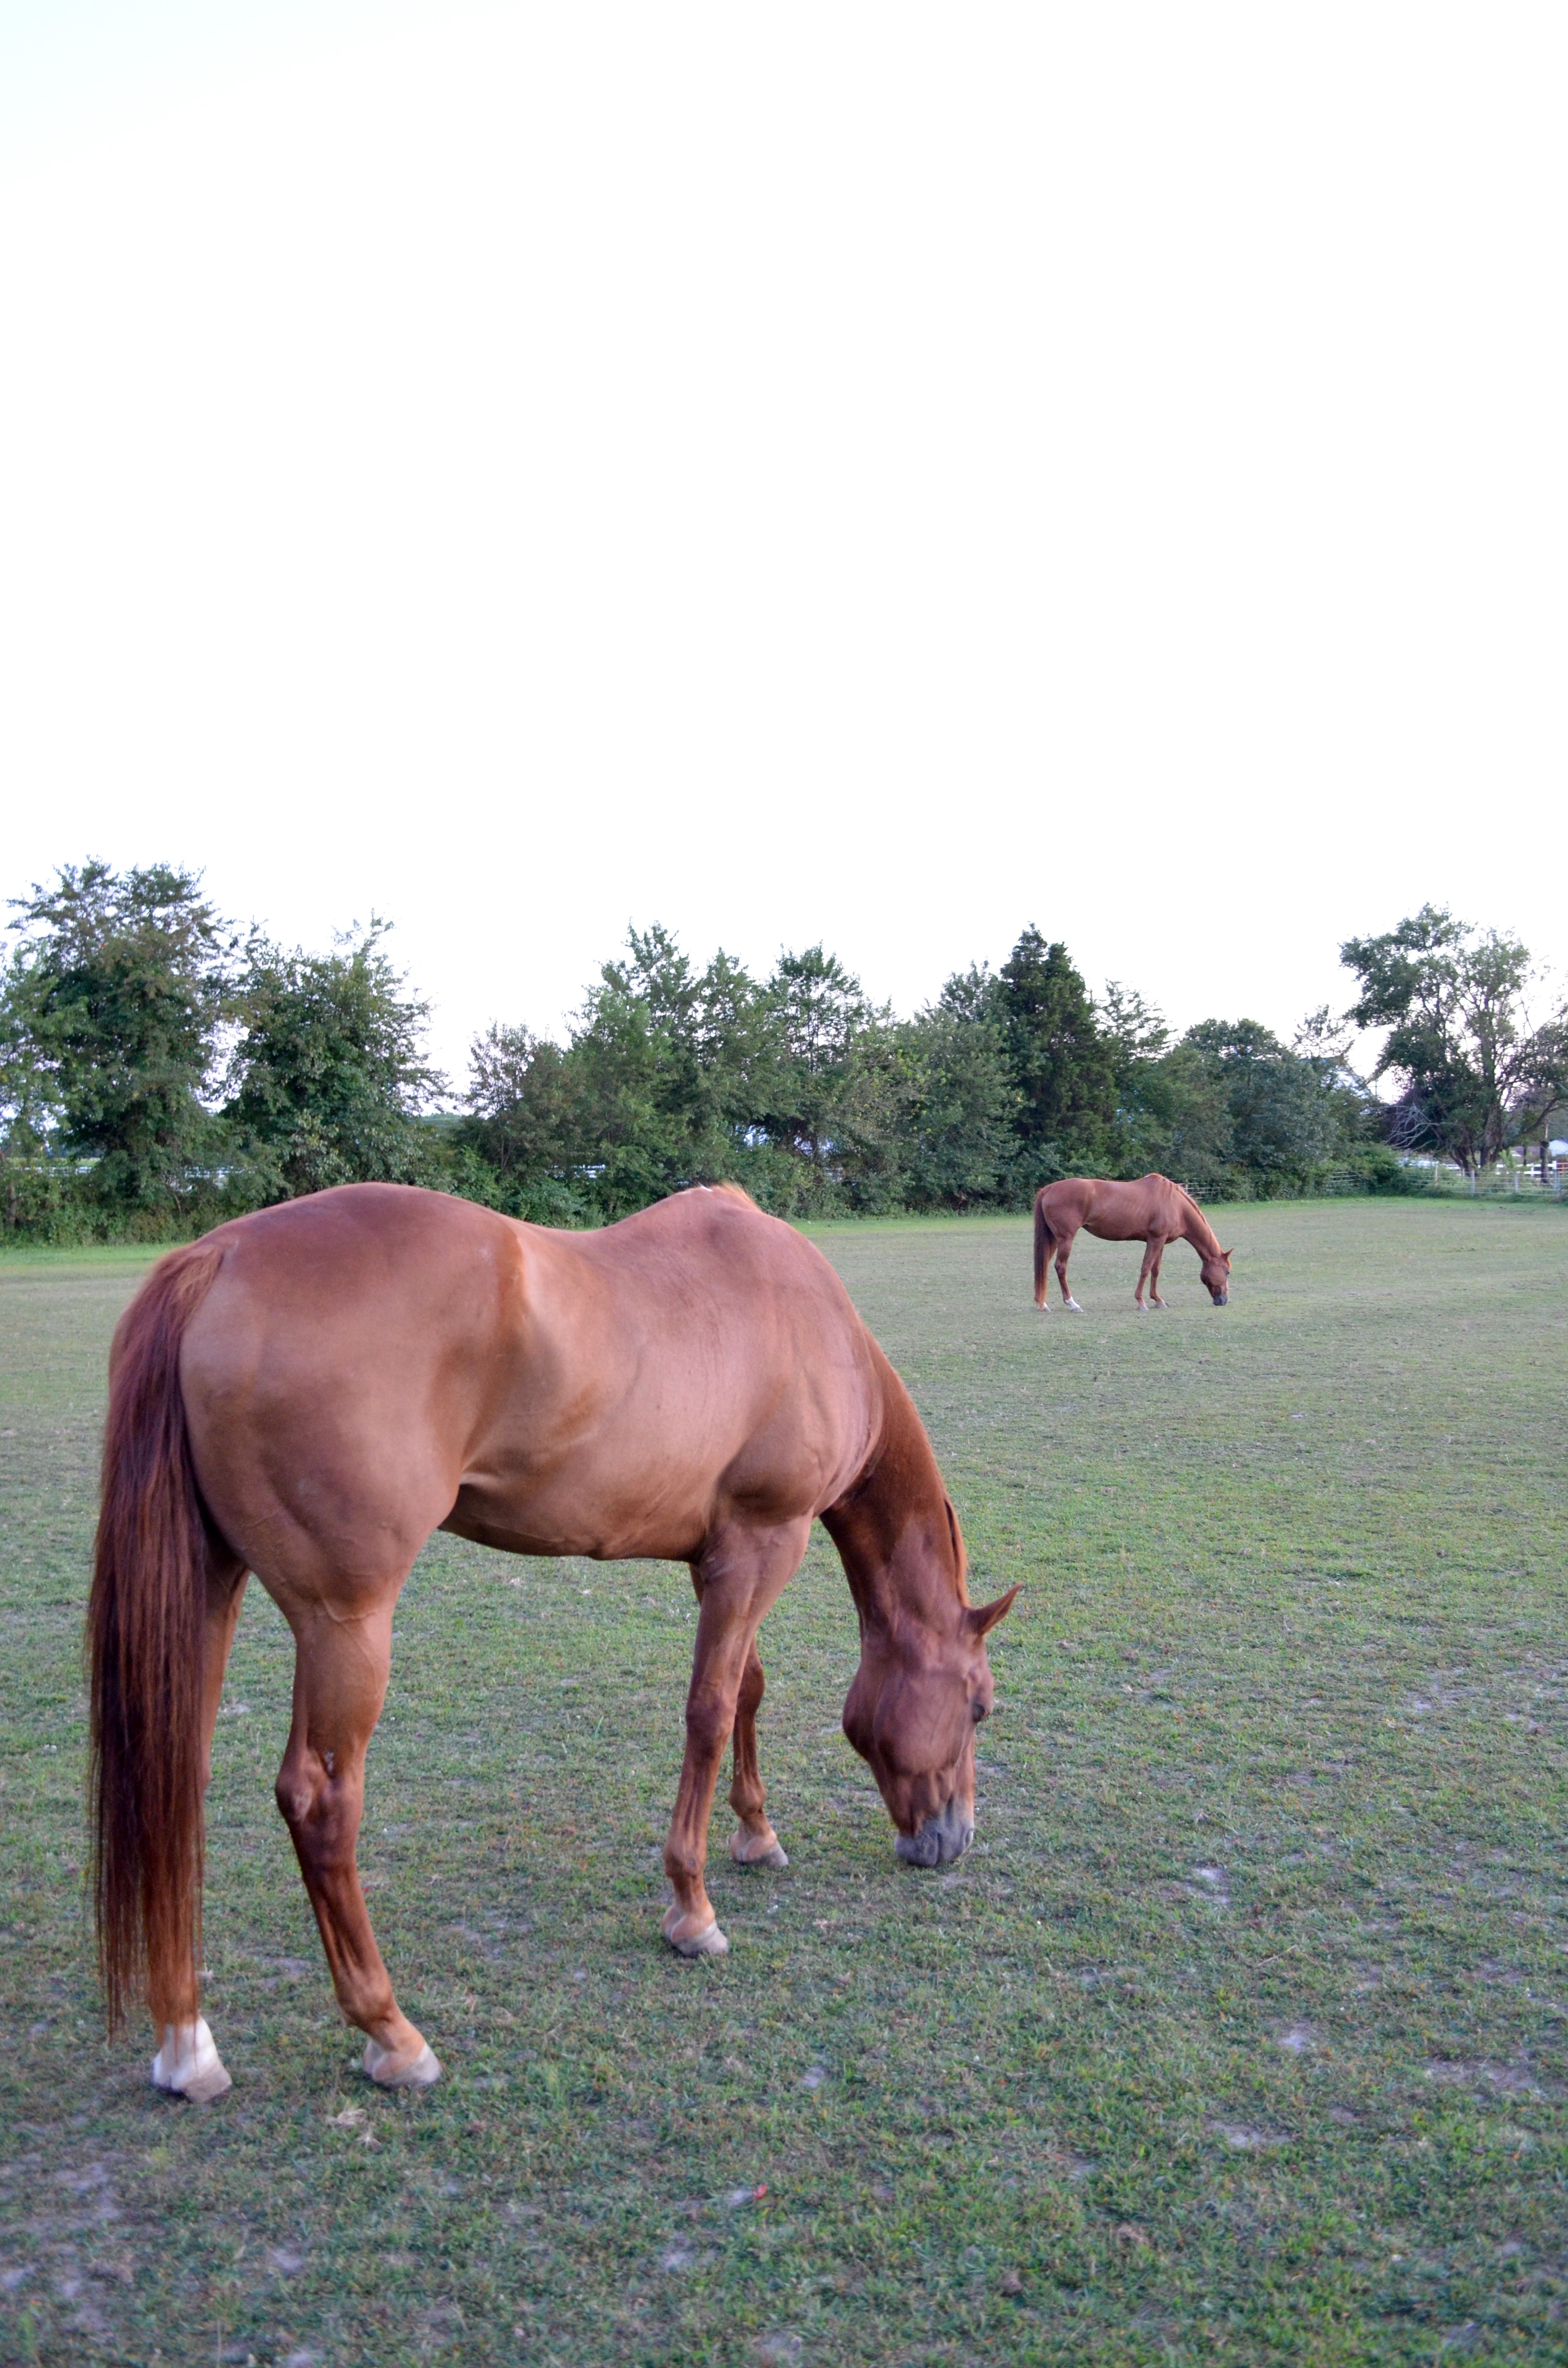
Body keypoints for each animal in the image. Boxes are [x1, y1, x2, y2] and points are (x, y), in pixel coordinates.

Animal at [88, 1181, 1018, 2102]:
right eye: (979, 1707)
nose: (953, 1838)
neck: (813, 1324)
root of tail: (219, 1258)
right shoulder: (763, 1544)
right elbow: (711, 1712)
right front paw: (692, 1910)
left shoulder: (721, 1558)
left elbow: (746, 1691)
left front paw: (756, 1835)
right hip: (343, 1621)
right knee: (319, 1804)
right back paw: (391, 2033)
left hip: (212, 1592)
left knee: (175, 1777)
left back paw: (187, 2046)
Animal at [1033, 1174, 1232, 1312]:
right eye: (1227, 1272)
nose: (1223, 1301)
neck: (1176, 1205)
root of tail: (1049, 1189)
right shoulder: (1155, 1240)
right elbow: (1145, 1269)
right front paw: (1141, 1302)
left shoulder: (1161, 1242)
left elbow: (1155, 1270)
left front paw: (1158, 1300)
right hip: (1066, 1239)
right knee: (1061, 1267)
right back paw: (1073, 1304)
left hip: (1054, 1239)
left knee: (1044, 1266)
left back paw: (1043, 1304)